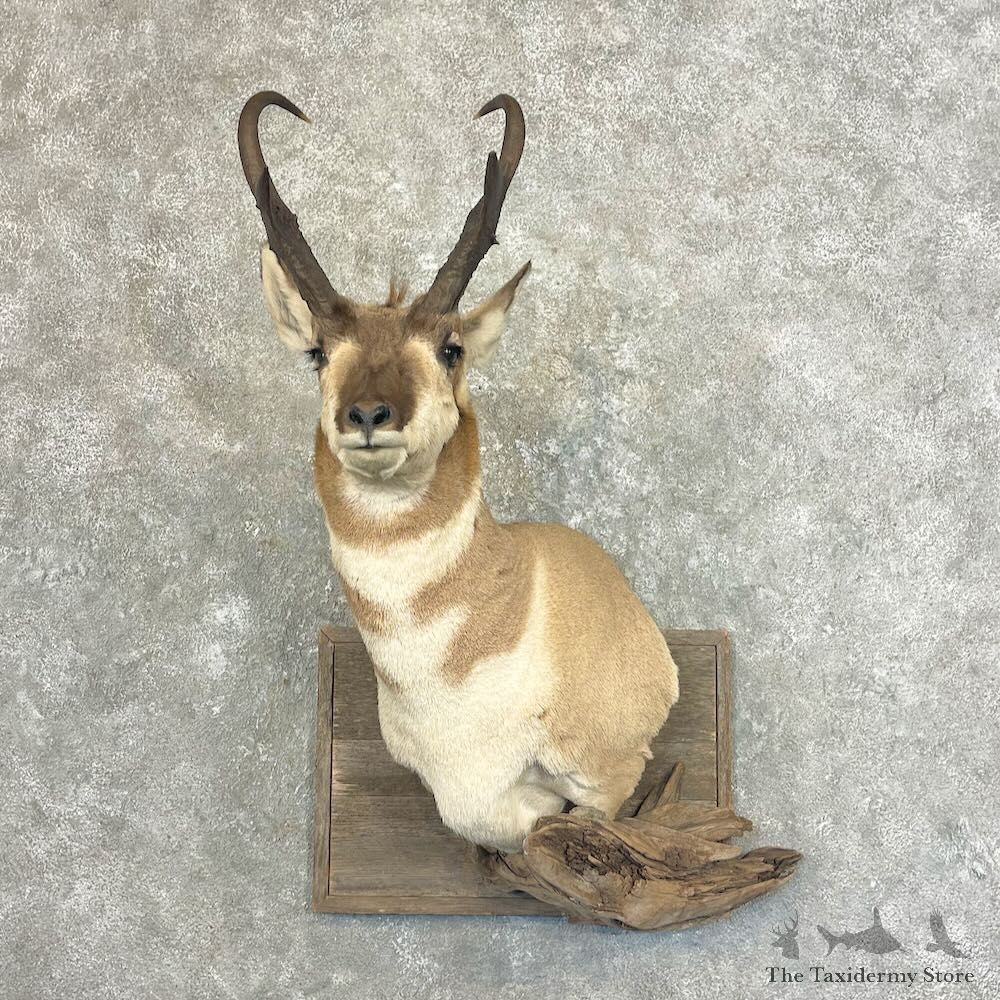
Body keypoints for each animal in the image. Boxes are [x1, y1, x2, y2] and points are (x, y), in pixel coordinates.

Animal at [238, 91, 679, 853]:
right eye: (318, 352)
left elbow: (562, 821)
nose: (368, 415)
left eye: (449, 348)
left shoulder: (612, 772)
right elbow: (485, 817)